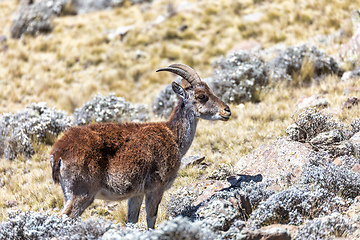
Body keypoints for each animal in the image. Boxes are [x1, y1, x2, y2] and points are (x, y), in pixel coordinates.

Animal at [49, 62, 231, 228]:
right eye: (201, 96)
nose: (227, 110)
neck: (173, 136)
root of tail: (59, 152)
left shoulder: (136, 194)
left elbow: (132, 219)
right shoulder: (156, 188)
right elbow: (151, 218)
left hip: (68, 193)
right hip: (82, 193)